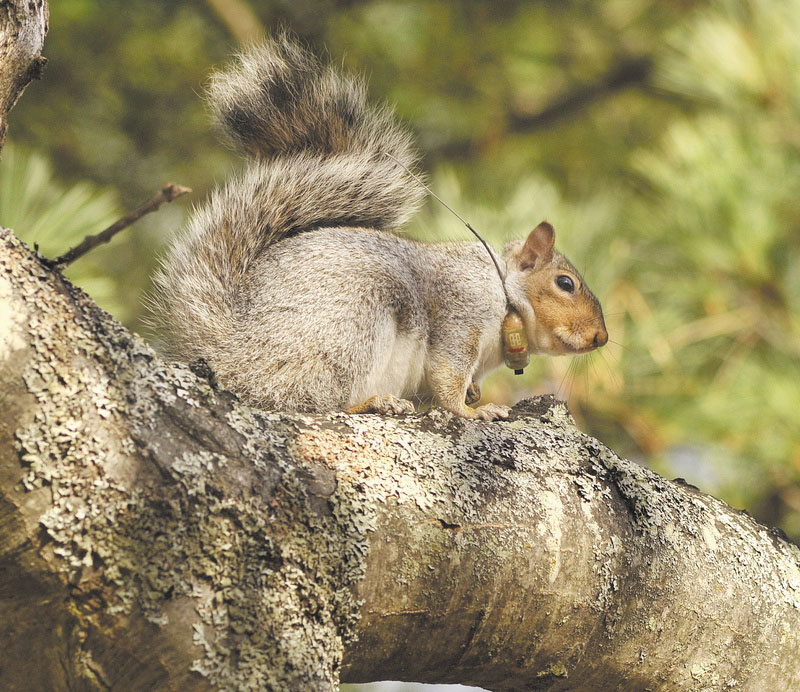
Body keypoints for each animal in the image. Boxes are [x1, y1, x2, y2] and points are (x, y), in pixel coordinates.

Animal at [150, 36, 608, 422]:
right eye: (565, 283)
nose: (601, 337)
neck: (501, 289)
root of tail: (228, 349)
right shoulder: (462, 313)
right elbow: (447, 375)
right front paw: (471, 410)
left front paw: (475, 395)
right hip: (347, 326)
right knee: (309, 398)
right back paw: (373, 402)